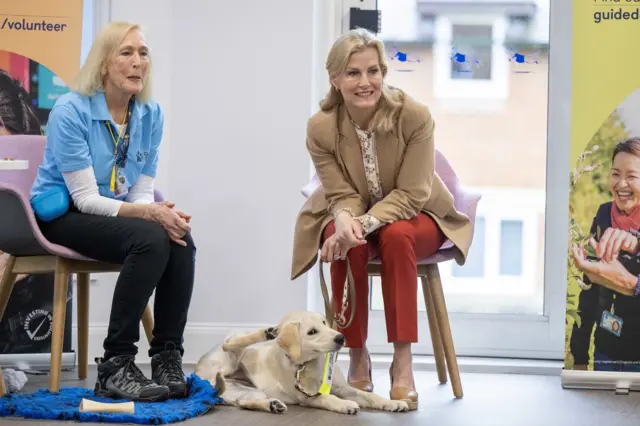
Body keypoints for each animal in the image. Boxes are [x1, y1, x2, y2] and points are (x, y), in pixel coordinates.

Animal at [192, 310, 410, 416]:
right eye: (312, 332)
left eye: (324, 323)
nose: (341, 337)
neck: (311, 363)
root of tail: (198, 371)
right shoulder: (307, 397)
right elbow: (327, 398)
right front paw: (344, 404)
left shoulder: (344, 388)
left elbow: (370, 396)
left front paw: (393, 403)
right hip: (231, 354)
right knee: (230, 344)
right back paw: (265, 333)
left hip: (247, 390)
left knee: (245, 402)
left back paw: (272, 405)